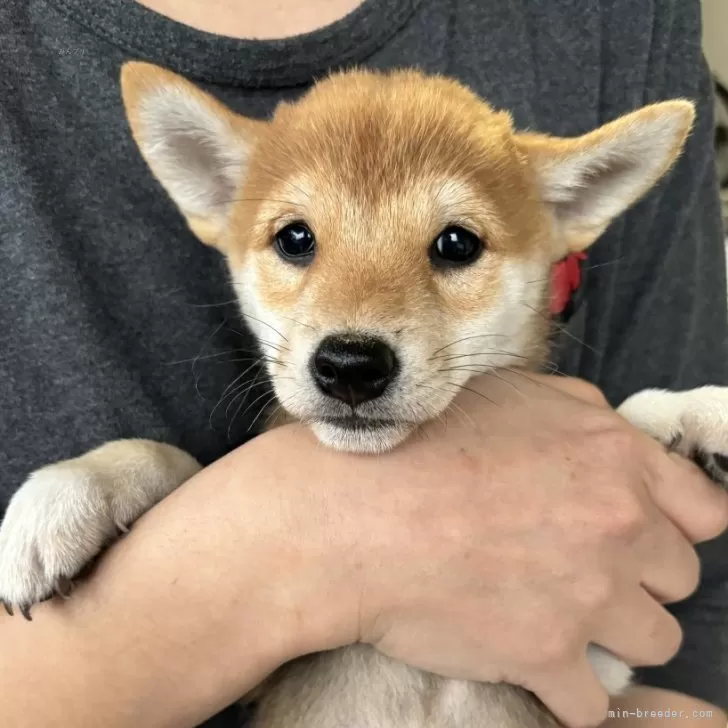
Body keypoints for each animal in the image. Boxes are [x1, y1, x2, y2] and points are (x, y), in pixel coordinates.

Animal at [1, 62, 728, 728]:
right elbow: (177, 461)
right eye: (295, 238)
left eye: (457, 243)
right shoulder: (251, 674)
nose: (350, 364)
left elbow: (631, 410)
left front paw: (695, 412)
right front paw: (73, 490)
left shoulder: (598, 670)